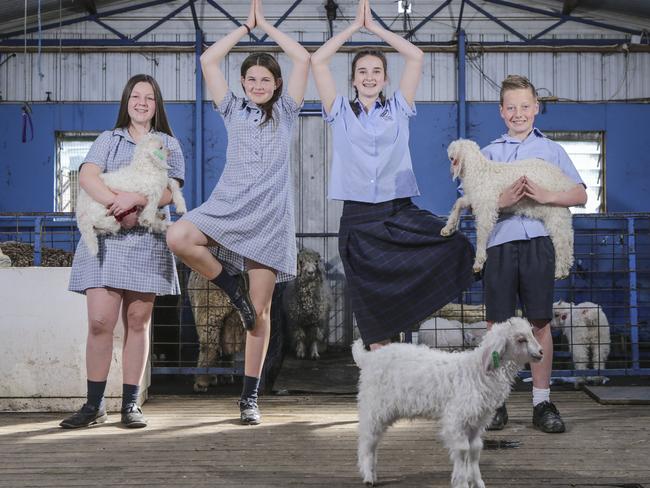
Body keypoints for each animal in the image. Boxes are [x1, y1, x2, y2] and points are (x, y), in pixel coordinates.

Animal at [352, 318, 540, 486]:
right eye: (520, 339)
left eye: (532, 333)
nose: (541, 353)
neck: (476, 371)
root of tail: (368, 358)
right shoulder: (456, 418)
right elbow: (462, 450)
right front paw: (461, 482)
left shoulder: (476, 422)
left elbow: (475, 450)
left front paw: (476, 481)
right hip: (373, 407)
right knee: (367, 442)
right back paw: (368, 476)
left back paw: (373, 474)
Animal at [440, 139, 572, 280]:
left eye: (451, 157)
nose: (450, 170)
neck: (478, 171)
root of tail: (565, 181)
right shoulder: (475, 198)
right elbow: (458, 203)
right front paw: (448, 228)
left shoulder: (487, 204)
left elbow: (482, 232)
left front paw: (478, 262)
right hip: (560, 214)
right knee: (568, 238)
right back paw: (566, 268)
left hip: (555, 209)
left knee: (562, 241)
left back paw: (560, 271)